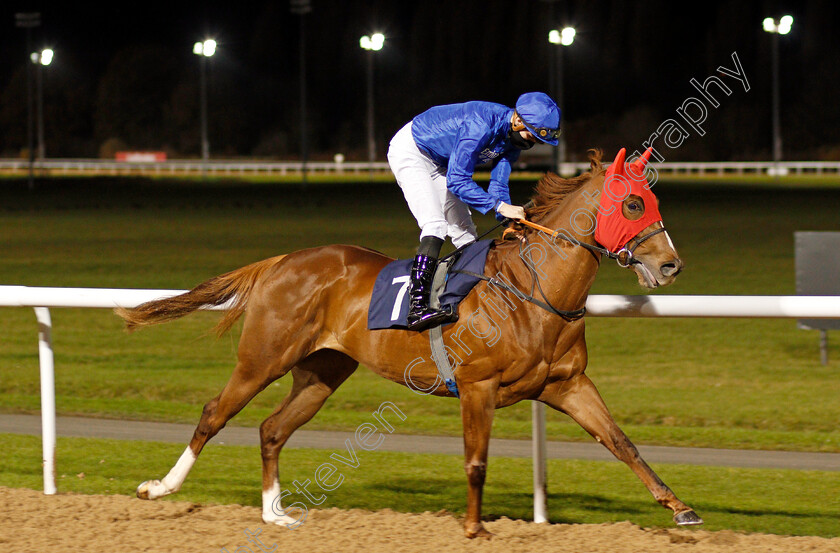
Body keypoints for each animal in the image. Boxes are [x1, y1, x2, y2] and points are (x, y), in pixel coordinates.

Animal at [115, 146, 700, 536]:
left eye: (652, 201)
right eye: (632, 205)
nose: (671, 265)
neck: (533, 291)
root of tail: (282, 261)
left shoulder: (569, 384)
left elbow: (621, 442)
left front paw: (680, 508)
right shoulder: (478, 387)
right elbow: (476, 460)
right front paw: (474, 528)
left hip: (322, 371)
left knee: (271, 429)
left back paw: (274, 513)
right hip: (263, 357)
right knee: (215, 412)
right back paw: (161, 487)